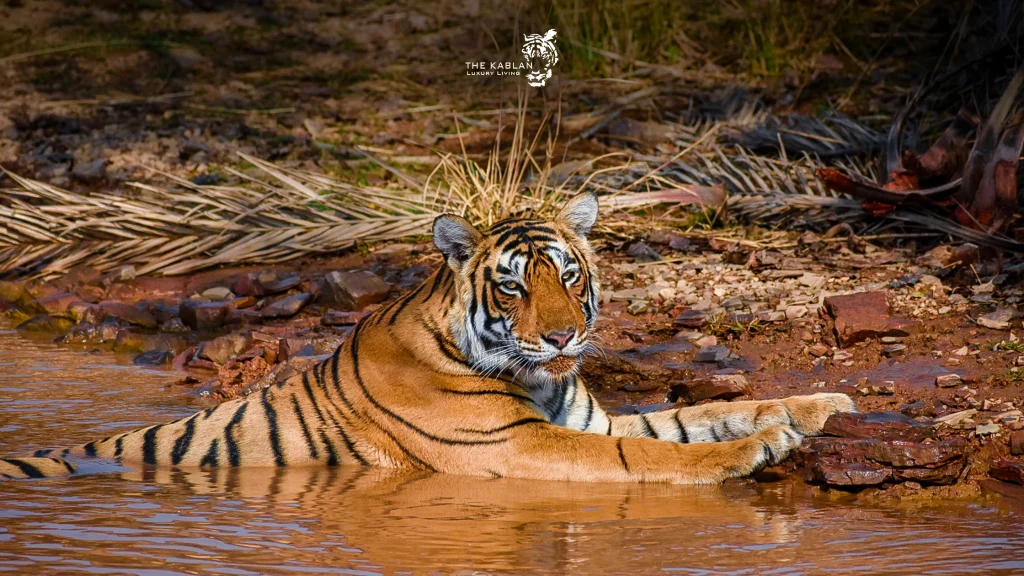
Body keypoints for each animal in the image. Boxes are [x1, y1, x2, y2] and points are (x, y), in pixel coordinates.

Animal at [0, 192, 855, 483]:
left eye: (568, 275)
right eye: (513, 285)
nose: (560, 339)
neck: (538, 377)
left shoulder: (588, 420)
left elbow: (695, 415)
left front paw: (818, 407)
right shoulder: (518, 445)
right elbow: (653, 455)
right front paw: (752, 451)